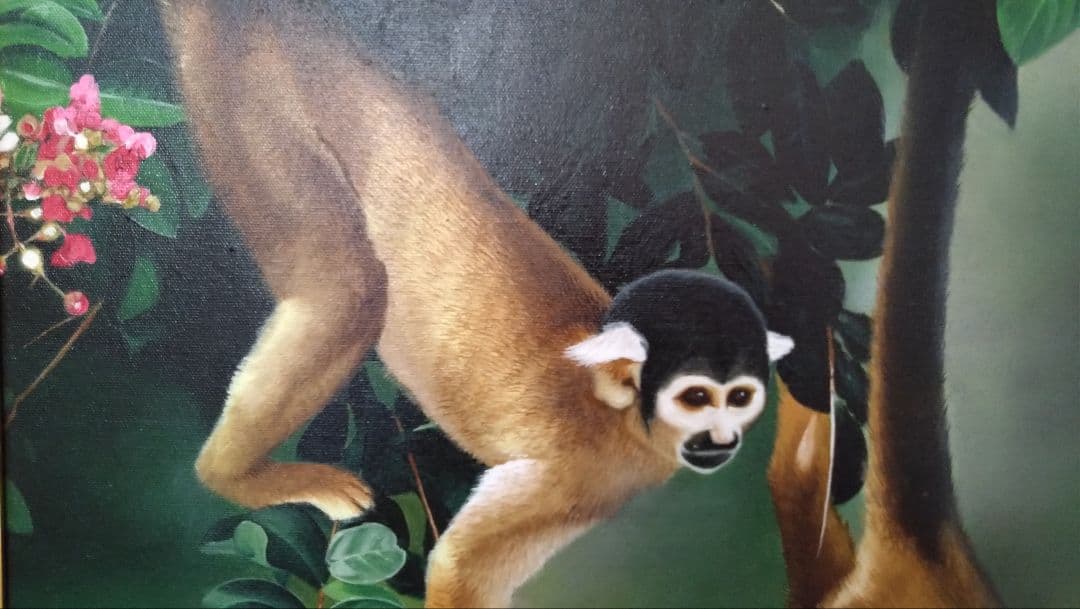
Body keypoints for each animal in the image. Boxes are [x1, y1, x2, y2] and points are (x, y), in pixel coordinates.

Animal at [155, 2, 794, 606]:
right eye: (696, 399)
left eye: (739, 398)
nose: (721, 439)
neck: (618, 412)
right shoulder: (588, 474)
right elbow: (460, 568)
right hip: (251, 98)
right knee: (351, 289)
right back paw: (233, 477)